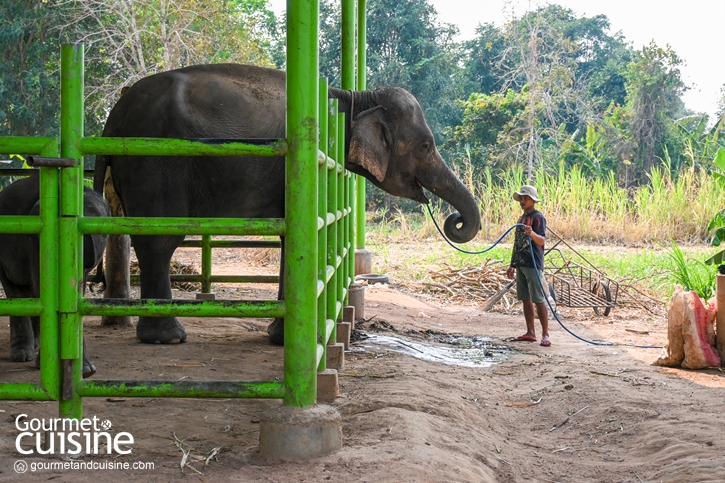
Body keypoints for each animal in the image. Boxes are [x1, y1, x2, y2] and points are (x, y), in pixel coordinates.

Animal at [94, 63, 480, 344]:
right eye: (425, 147)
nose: (455, 220)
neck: (355, 98)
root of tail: (113, 117)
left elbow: (291, 234)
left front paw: (281, 337)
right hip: (155, 160)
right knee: (160, 240)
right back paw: (168, 338)